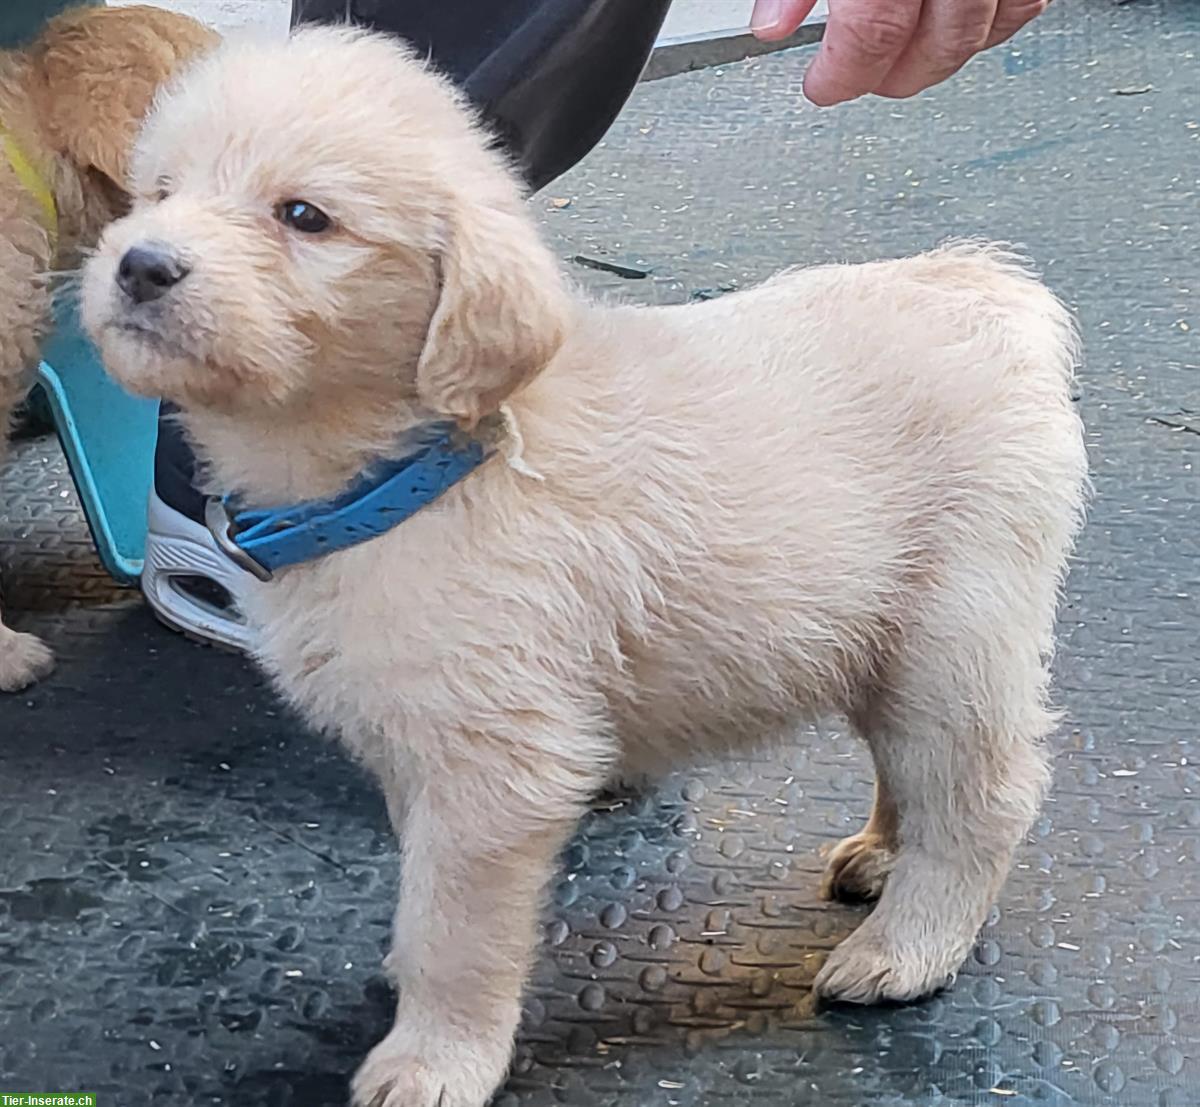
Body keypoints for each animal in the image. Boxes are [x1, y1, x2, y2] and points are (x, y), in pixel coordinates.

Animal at [82, 25, 1089, 1104]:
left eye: (303, 217)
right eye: (158, 192)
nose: (141, 264)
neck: (414, 467)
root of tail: (985, 288)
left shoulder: (497, 767)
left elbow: (453, 925)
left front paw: (435, 1054)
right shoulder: (414, 738)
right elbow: (418, 879)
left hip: (955, 635)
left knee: (983, 796)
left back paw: (908, 947)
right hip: (881, 644)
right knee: (909, 768)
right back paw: (879, 858)